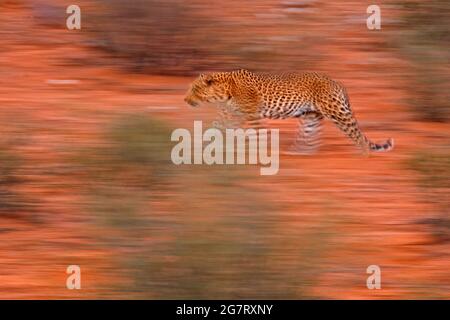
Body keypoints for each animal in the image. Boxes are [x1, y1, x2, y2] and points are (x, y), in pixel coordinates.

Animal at [183, 69, 394, 154]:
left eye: (194, 89)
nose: (185, 100)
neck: (225, 92)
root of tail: (337, 82)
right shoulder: (229, 115)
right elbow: (215, 129)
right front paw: (201, 144)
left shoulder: (252, 115)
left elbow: (257, 135)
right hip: (311, 116)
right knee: (311, 137)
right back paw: (299, 152)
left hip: (336, 112)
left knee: (356, 133)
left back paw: (364, 154)